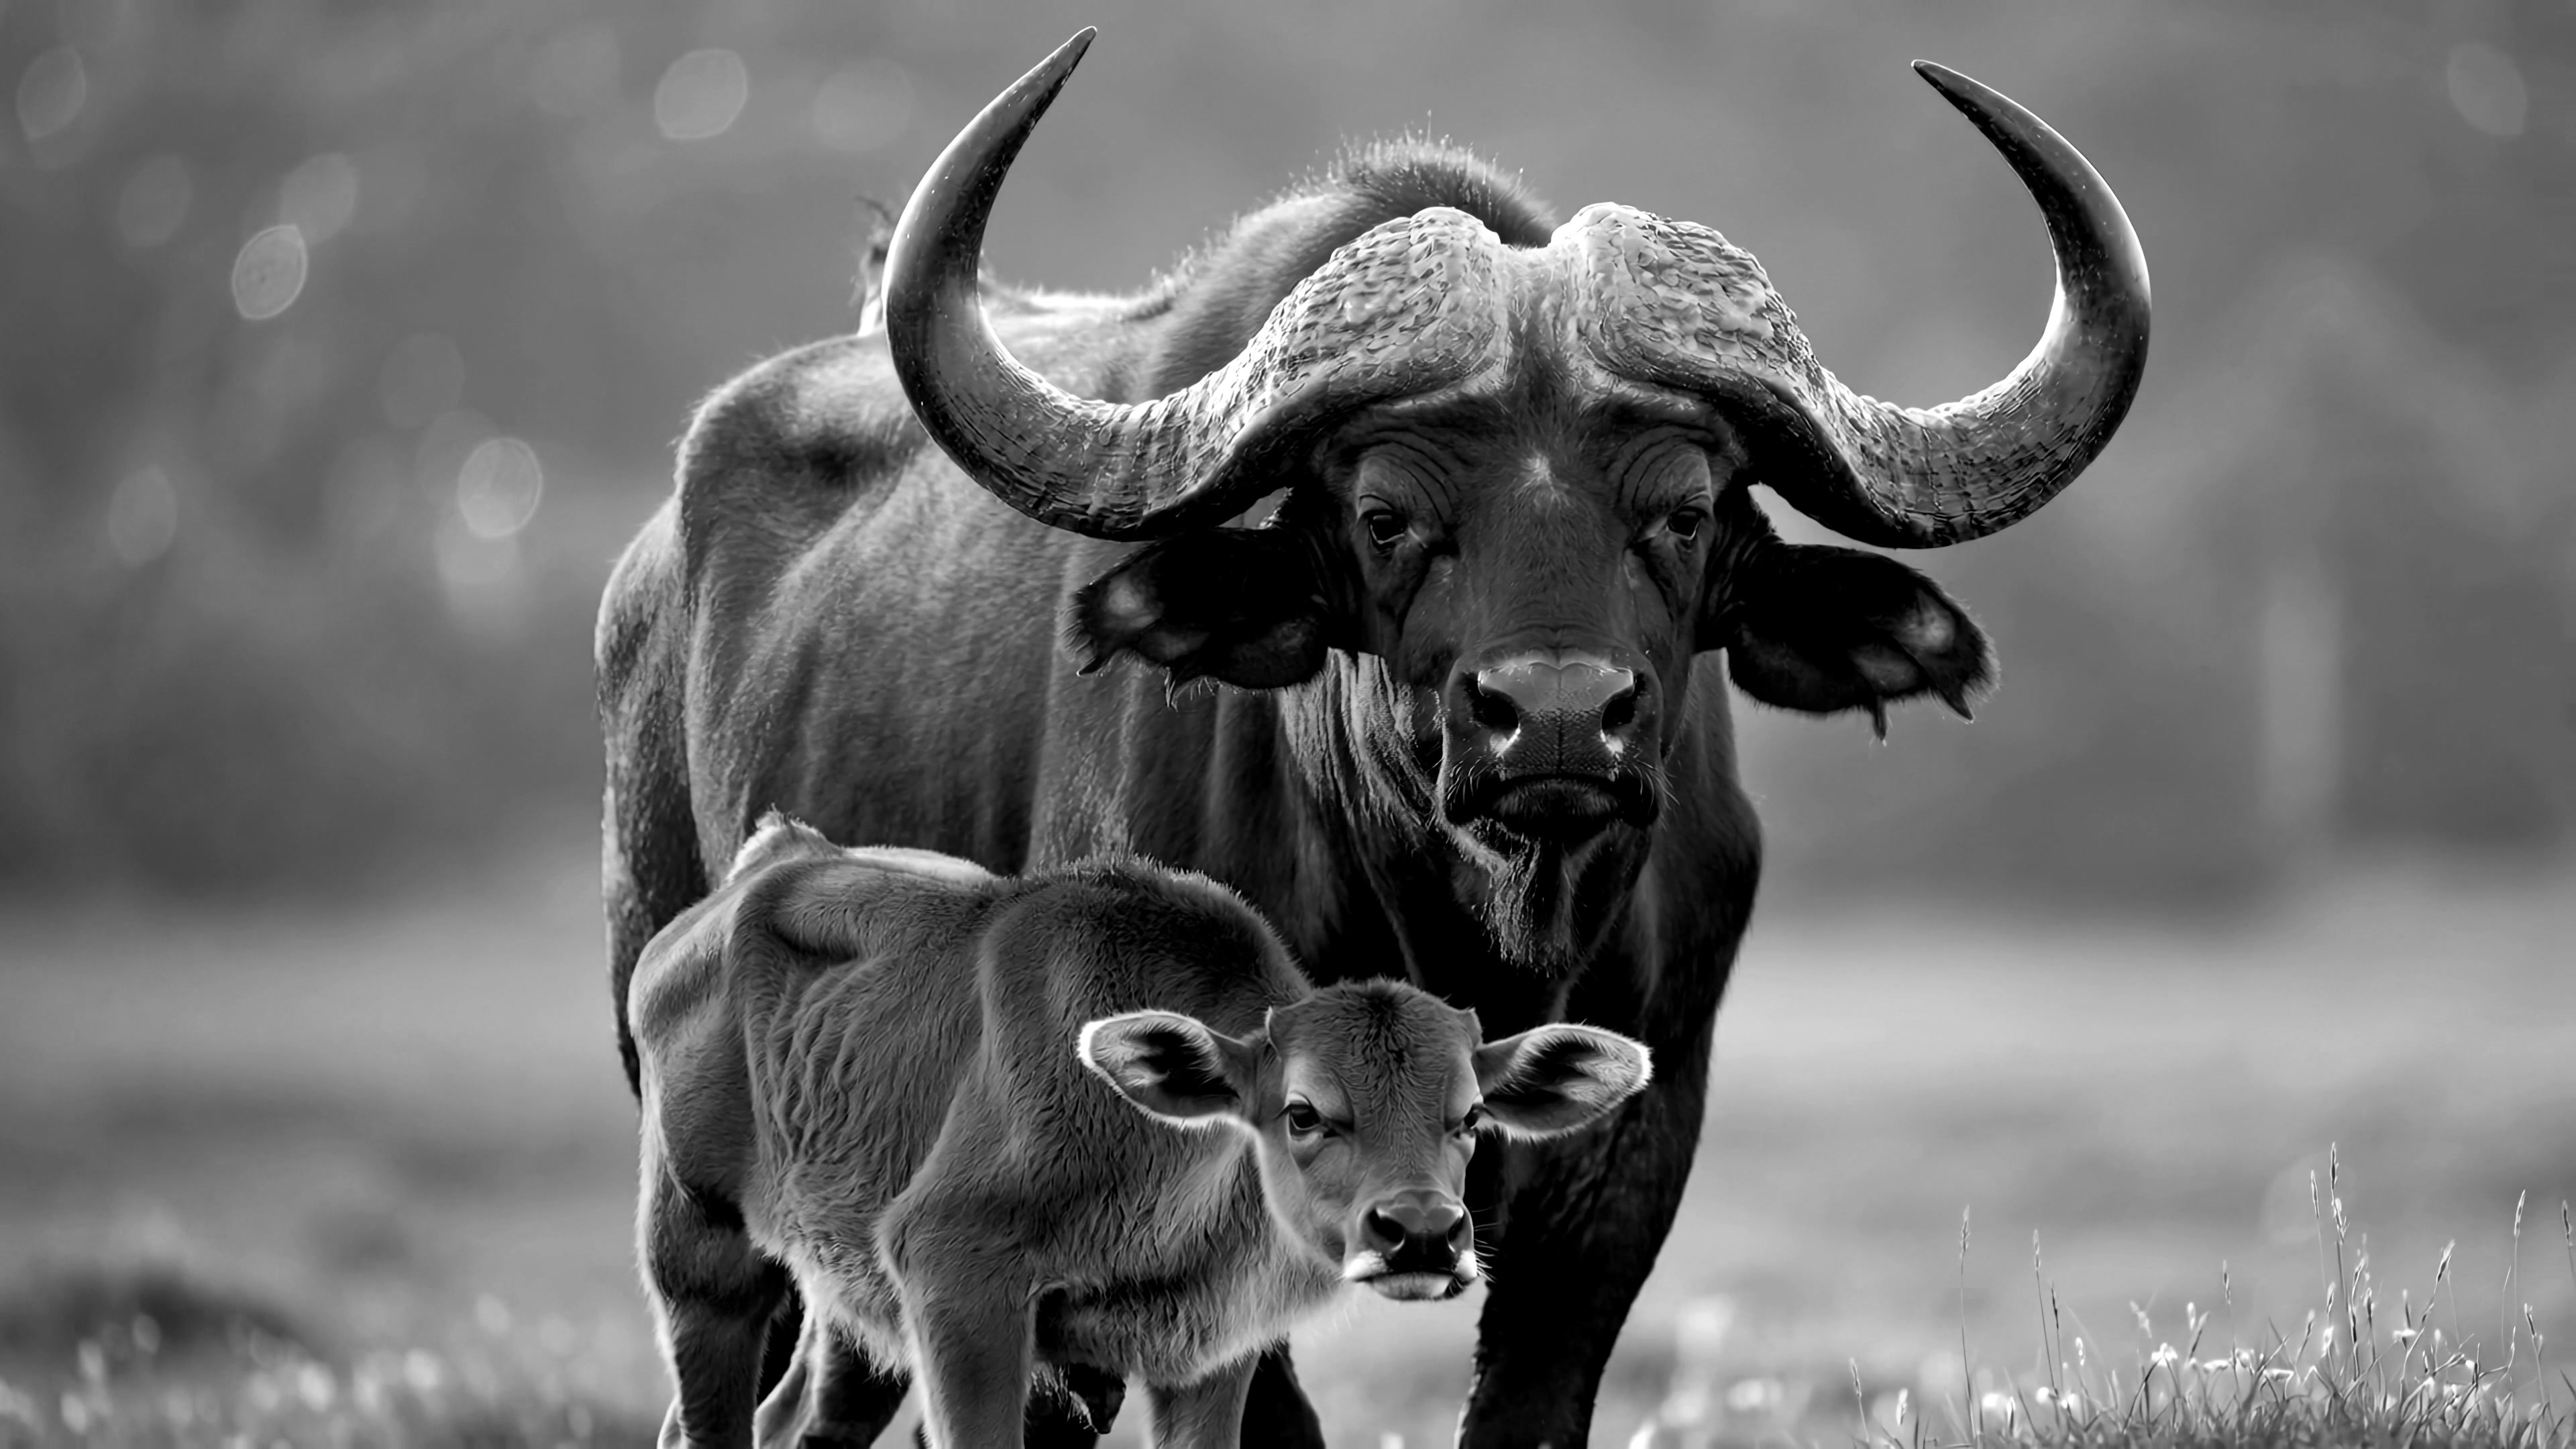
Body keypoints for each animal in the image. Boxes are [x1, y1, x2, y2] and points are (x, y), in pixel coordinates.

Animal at [630, 814, 1652, 1448]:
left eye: (1470, 1116)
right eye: (1304, 1112)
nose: (1425, 1234)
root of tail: (770, 860)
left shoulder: (1211, 1354)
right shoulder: (956, 1281)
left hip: (836, 1302)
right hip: (700, 1258)